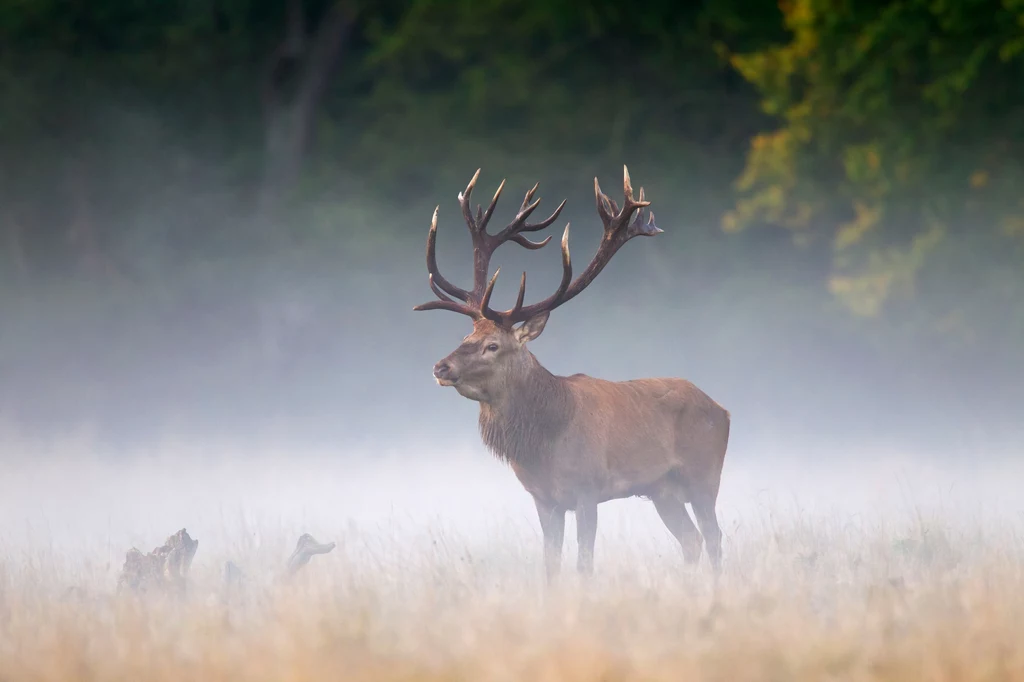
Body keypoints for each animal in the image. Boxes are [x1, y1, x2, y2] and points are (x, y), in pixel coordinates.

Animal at [411, 163, 733, 577]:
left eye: (492, 345)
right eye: (466, 334)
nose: (441, 366)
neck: (544, 444)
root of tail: (722, 410)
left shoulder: (588, 489)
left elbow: (584, 563)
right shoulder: (543, 498)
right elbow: (550, 564)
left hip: (703, 474)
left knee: (714, 537)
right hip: (661, 488)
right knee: (691, 540)